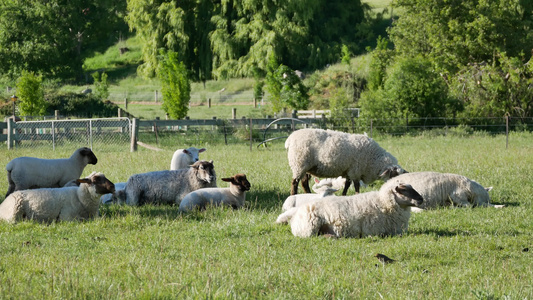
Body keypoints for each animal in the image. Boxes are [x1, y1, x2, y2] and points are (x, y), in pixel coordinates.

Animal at [284, 182, 422, 238]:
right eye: (403, 190)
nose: (421, 199)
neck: (382, 202)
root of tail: (296, 214)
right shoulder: (375, 230)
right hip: (309, 229)